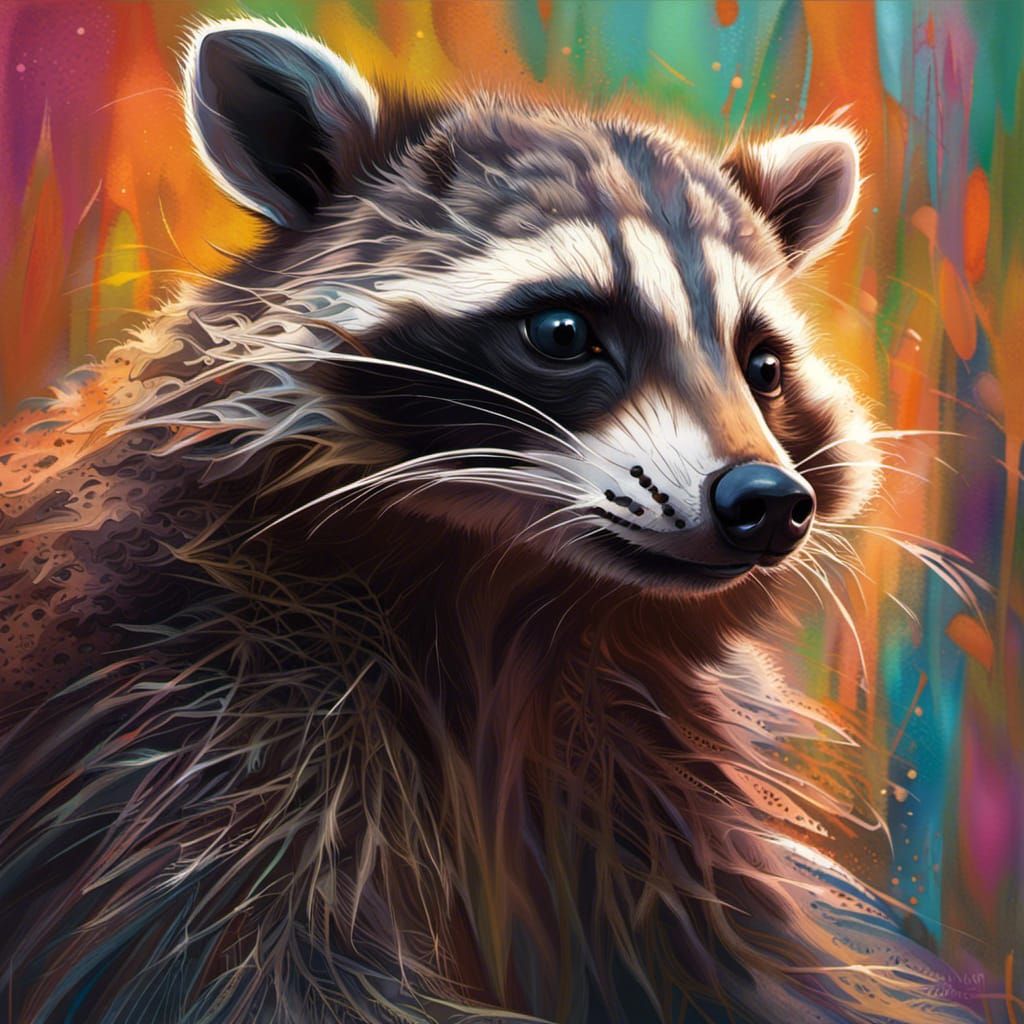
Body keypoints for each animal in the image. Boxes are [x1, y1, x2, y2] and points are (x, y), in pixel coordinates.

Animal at [0, 19, 980, 1024]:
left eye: (764, 366)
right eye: (564, 333)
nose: (767, 503)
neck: (509, 599)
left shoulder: (642, 760)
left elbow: (741, 946)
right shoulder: (183, 711)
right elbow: (234, 960)